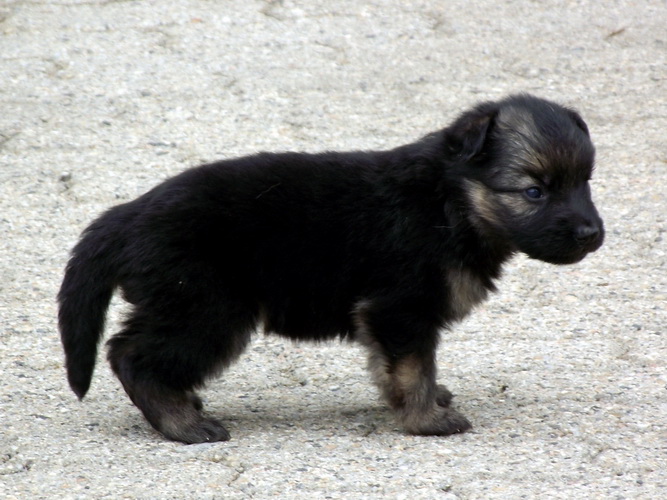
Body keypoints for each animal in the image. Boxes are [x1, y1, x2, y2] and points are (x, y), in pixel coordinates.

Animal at [58, 93, 604, 442]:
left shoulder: (390, 319)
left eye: (585, 182)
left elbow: (393, 367)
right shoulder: (399, 308)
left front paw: (417, 402)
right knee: (130, 356)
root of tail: (129, 213)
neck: (450, 201)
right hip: (206, 310)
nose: (592, 234)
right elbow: (413, 368)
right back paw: (181, 425)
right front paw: (426, 419)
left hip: (185, 305)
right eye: (534, 191)